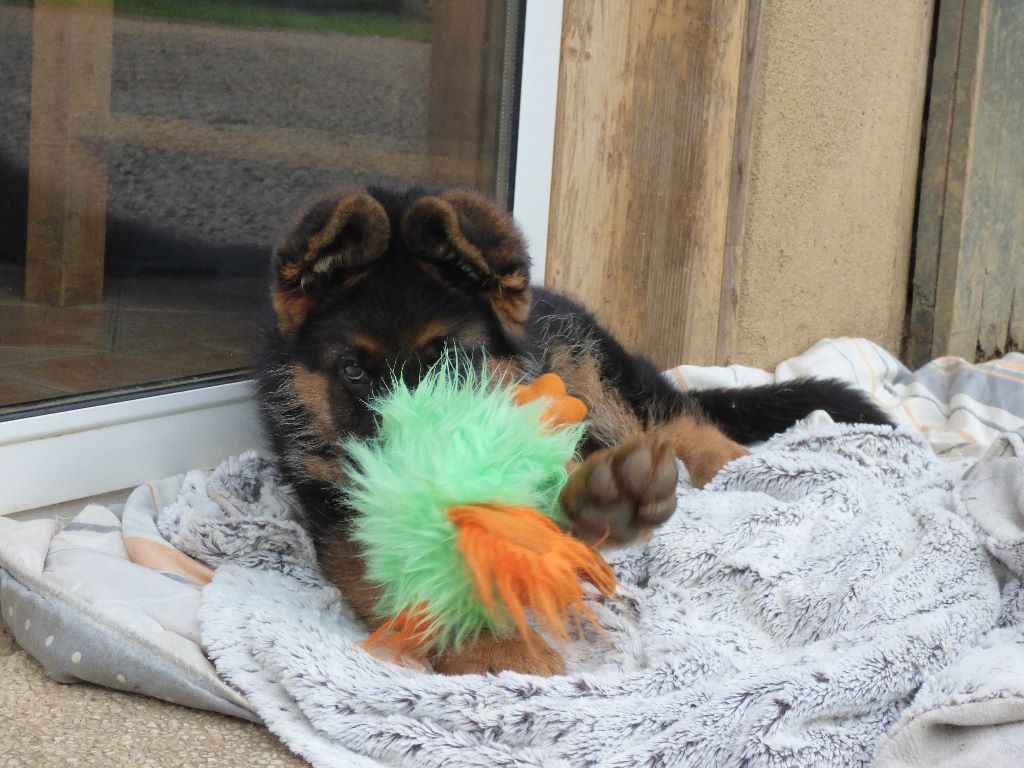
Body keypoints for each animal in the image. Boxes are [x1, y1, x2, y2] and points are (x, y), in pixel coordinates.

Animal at [253, 185, 888, 671]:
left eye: (450, 365)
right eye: (354, 371)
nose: (415, 479)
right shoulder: (338, 506)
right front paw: (494, 644)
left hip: (596, 369)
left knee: (680, 416)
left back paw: (722, 469)